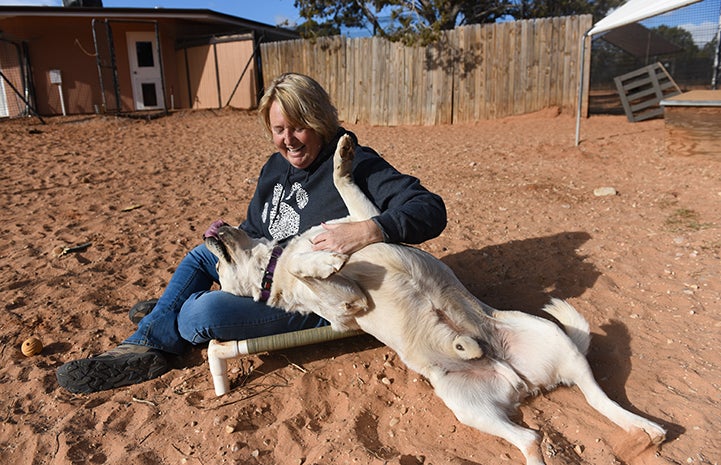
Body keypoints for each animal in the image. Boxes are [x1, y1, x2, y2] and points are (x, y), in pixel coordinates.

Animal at [205, 134, 668, 464]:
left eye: (216, 268)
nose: (210, 231)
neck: (276, 263)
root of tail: (522, 381)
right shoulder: (347, 303)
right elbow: (316, 270)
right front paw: (325, 261)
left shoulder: (365, 218)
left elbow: (343, 184)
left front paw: (343, 155)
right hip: (466, 404)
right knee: (533, 437)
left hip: (549, 339)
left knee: (599, 401)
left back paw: (648, 429)